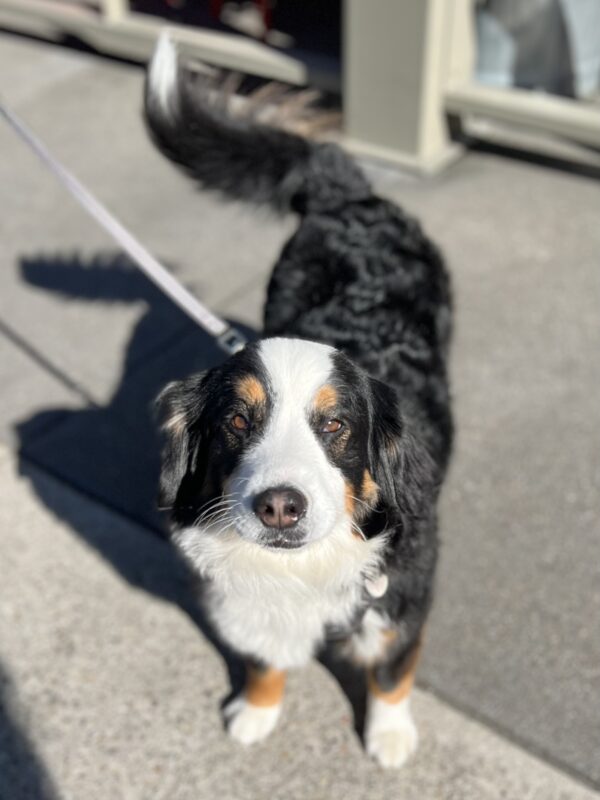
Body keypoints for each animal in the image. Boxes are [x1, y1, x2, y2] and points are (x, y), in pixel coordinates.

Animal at [145, 32, 452, 768]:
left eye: (335, 424)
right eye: (236, 420)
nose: (280, 506)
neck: (303, 570)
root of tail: (347, 194)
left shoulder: (406, 591)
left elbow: (393, 667)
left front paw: (389, 734)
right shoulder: (244, 602)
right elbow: (261, 658)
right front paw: (256, 711)